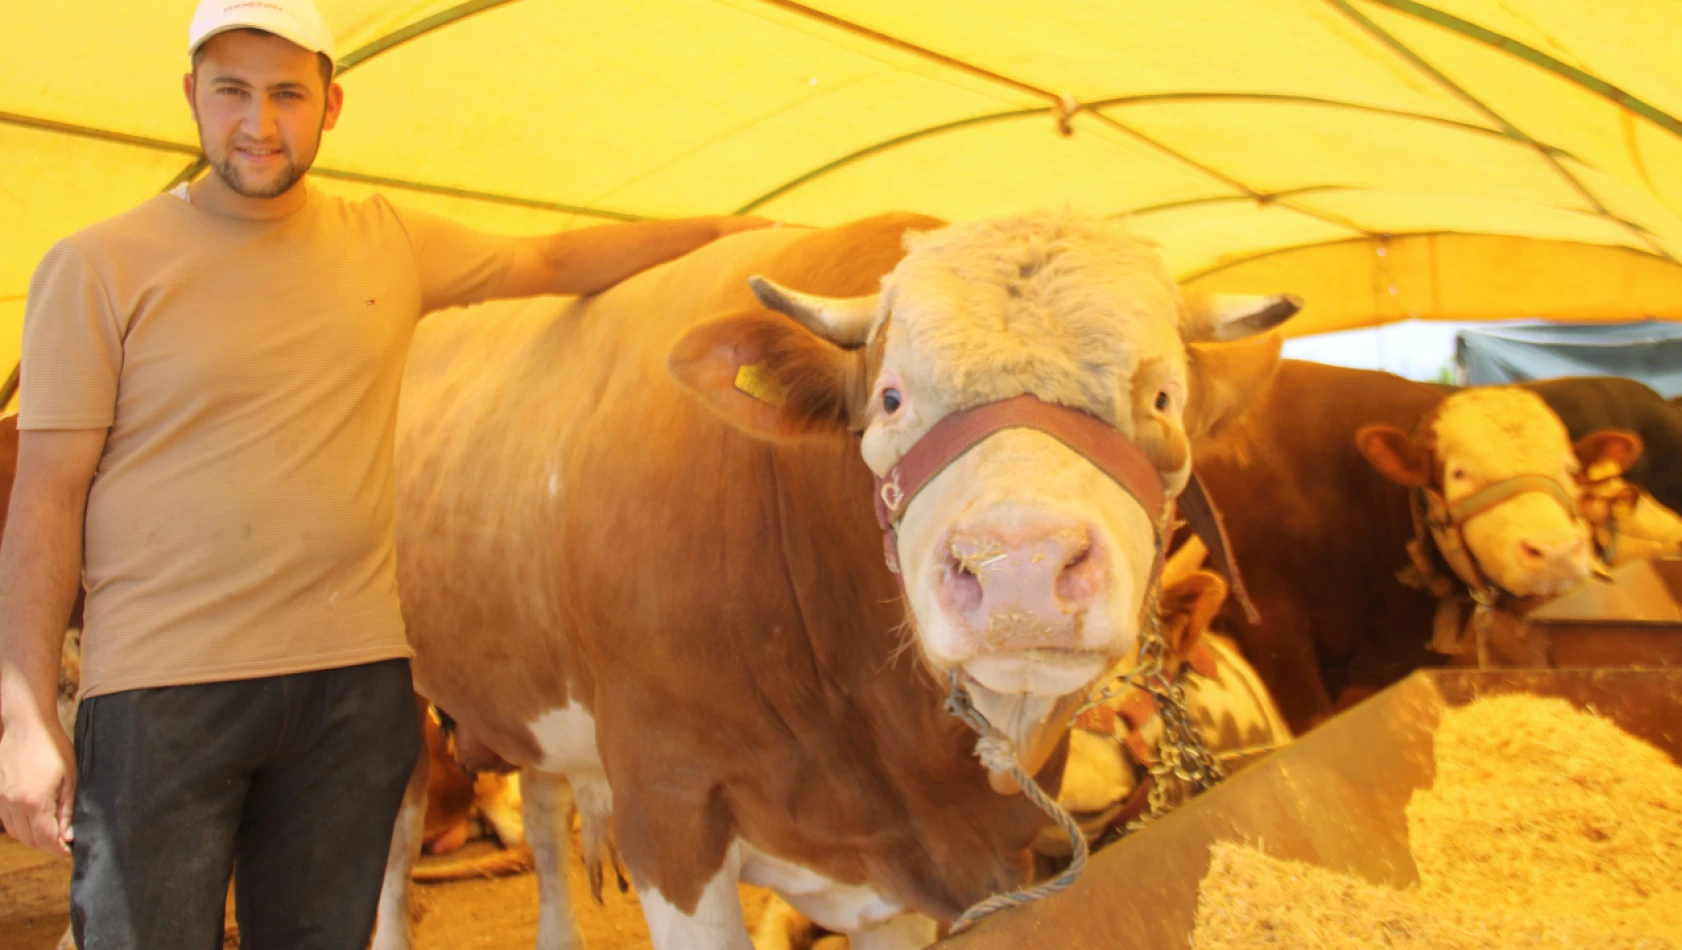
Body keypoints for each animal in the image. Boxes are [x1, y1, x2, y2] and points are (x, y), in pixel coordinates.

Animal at [375, 209, 1291, 948]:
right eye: (888, 398)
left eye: (1164, 398)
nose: (1020, 566)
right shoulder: (668, 805)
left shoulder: (905, 874)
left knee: (542, 808)